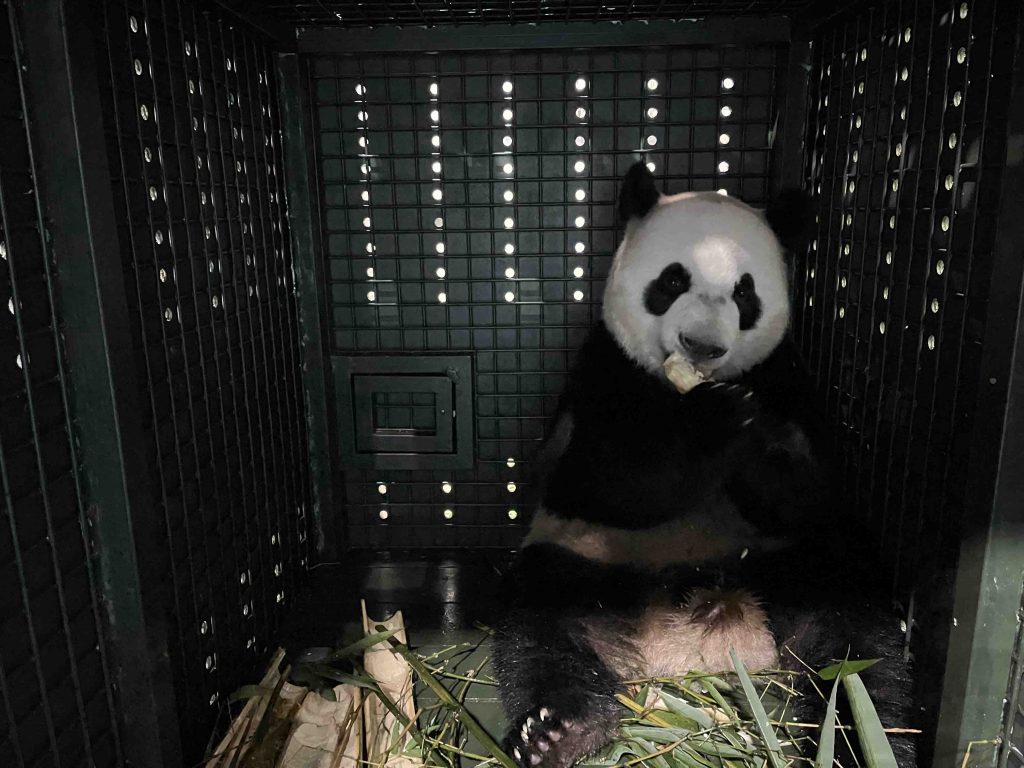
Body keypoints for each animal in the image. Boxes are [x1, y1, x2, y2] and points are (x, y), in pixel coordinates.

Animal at [492, 163, 915, 768]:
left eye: (744, 291)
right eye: (672, 281)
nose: (702, 346)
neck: (681, 387)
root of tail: (694, 648)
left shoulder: (787, 377)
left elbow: (815, 490)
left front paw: (758, 436)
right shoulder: (602, 371)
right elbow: (594, 481)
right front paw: (714, 422)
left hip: (793, 566)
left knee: (856, 641)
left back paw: (858, 735)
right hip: (589, 562)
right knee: (539, 628)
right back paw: (558, 729)